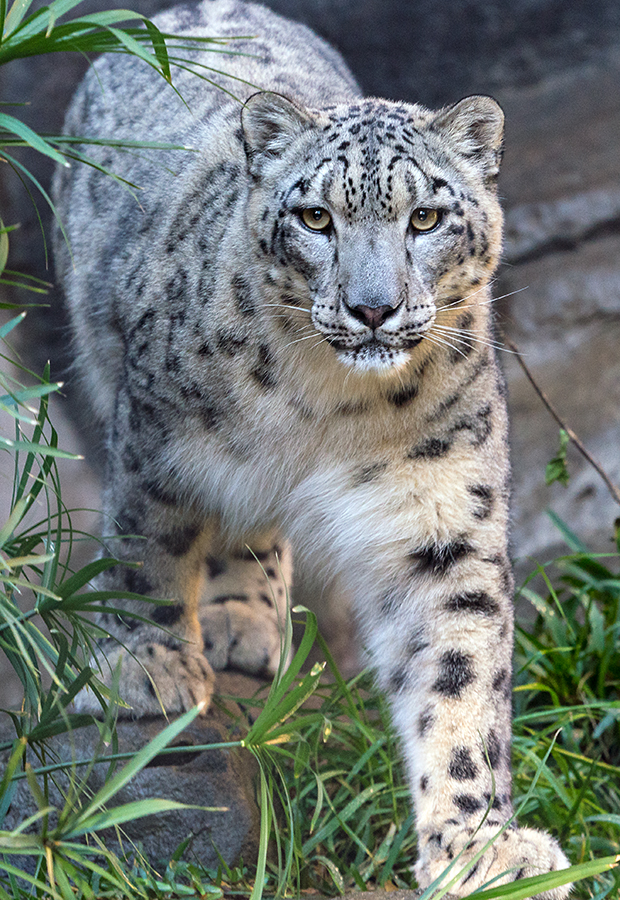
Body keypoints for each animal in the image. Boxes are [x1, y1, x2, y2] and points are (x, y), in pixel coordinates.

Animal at [53, 0, 572, 892]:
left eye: (425, 217)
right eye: (316, 217)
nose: (372, 308)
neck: (330, 407)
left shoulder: (442, 516)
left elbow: (460, 670)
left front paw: (481, 846)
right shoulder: (155, 429)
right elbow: (144, 539)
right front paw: (147, 665)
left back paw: (244, 621)